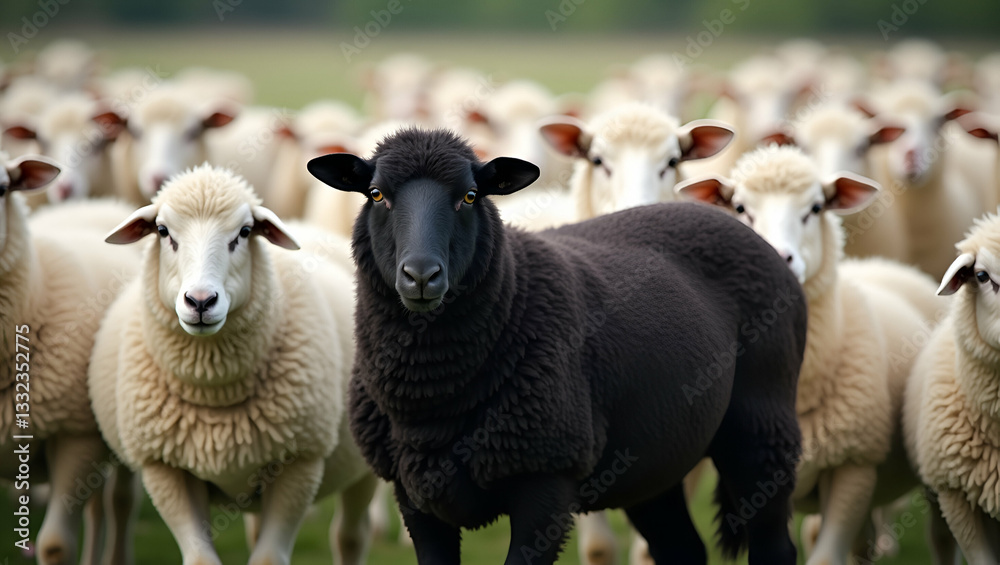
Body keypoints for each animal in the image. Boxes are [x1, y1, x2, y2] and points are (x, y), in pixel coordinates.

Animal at [91, 164, 376, 565]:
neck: (215, 393)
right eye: (162, 231)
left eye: (244, 232)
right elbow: (201, 558)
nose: (200, 301)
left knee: (351, 536)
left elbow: (269, 558)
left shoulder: (299, 464)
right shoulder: (165, 469)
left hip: (362, 462)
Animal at [307, 128, 808, 565]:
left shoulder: (545, 485)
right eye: (376, 194)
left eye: (470, 196)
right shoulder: (415, 496)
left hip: (761, 426)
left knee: (774, 548)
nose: (421, 276)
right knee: (682, 548)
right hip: (653, 456)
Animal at [676, 144, 940, 565]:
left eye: (816, 208)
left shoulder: (854, 466)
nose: (775, 257)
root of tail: (886, 264)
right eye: (739, 207)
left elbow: (825, 556)